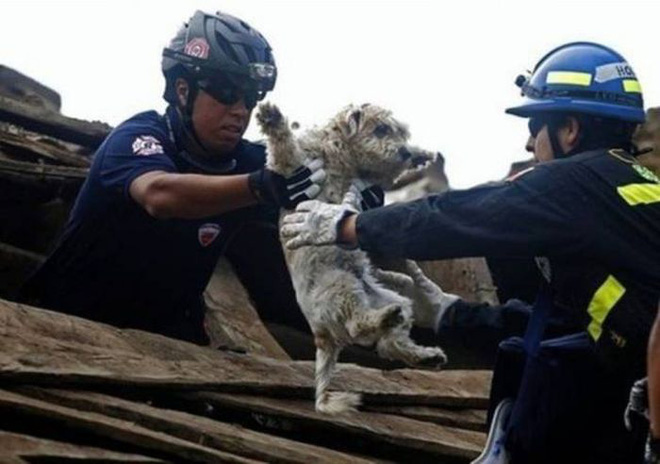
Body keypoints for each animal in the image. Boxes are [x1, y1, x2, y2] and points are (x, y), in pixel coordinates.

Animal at [256, 101, 454, 414]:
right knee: (358, 326)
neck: (342, 156)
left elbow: (387, 176)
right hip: (341, 286)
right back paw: (391, 324)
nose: (405, 152)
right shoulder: (294, 167)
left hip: (394, 297)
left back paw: (422, 352)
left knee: (385, 341)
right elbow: (284, 145)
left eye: (400, 132)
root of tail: (321, 336)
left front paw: (420, 153)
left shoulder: (376, 176)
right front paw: (271, 116)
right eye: (381, 129)